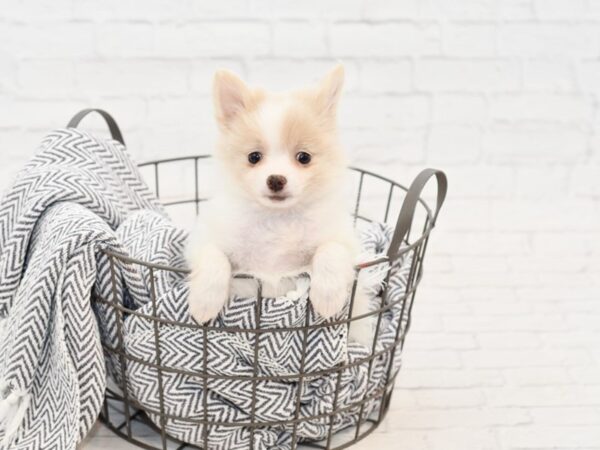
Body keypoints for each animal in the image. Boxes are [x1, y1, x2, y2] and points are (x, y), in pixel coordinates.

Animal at [185, 65, 370, 342]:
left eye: (304, 157)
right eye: (254, 157)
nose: (276, 179)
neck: (277, 220)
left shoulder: (343, 240)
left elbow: (331, 250)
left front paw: (327, 296)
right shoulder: (204, 238)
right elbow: (213, 257)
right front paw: (204, 301)